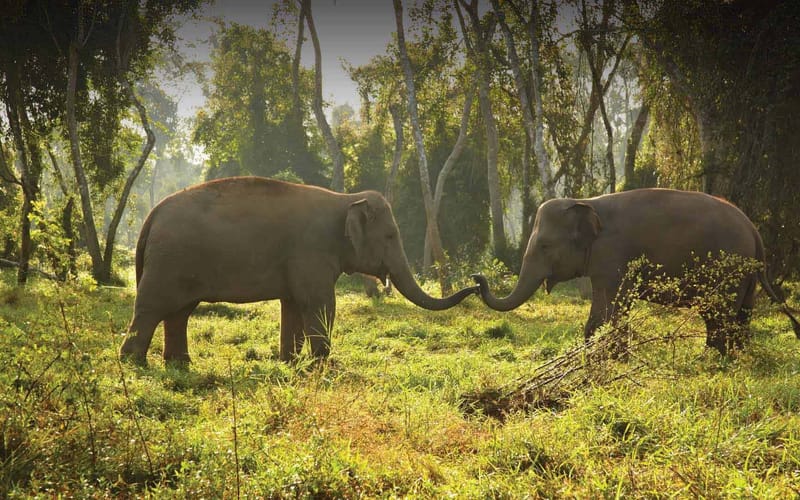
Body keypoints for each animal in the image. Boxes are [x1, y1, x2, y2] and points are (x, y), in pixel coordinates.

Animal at [120, 177, 478, 365]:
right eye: (390, 235)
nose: (477, 282)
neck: (345, 200)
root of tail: (151, 216)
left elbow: (292, 305)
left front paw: (289, 362)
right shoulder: (311, 251)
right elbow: (319, 303)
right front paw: (322, 364)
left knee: (179, 312)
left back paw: (179, 365)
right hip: (169, 262)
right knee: (152, 308)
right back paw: (134, 363)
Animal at [472, 188, 800, 355]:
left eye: (544, 246)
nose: (476, 278)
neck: (586, 201)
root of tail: (753, 230)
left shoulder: (613, 254)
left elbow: (612, 307)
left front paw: (611, 358)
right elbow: (600, 311)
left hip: (728, 267)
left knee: (718, 314)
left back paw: (712, 359)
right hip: (745, 274)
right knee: (740, 313)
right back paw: (732, 357)